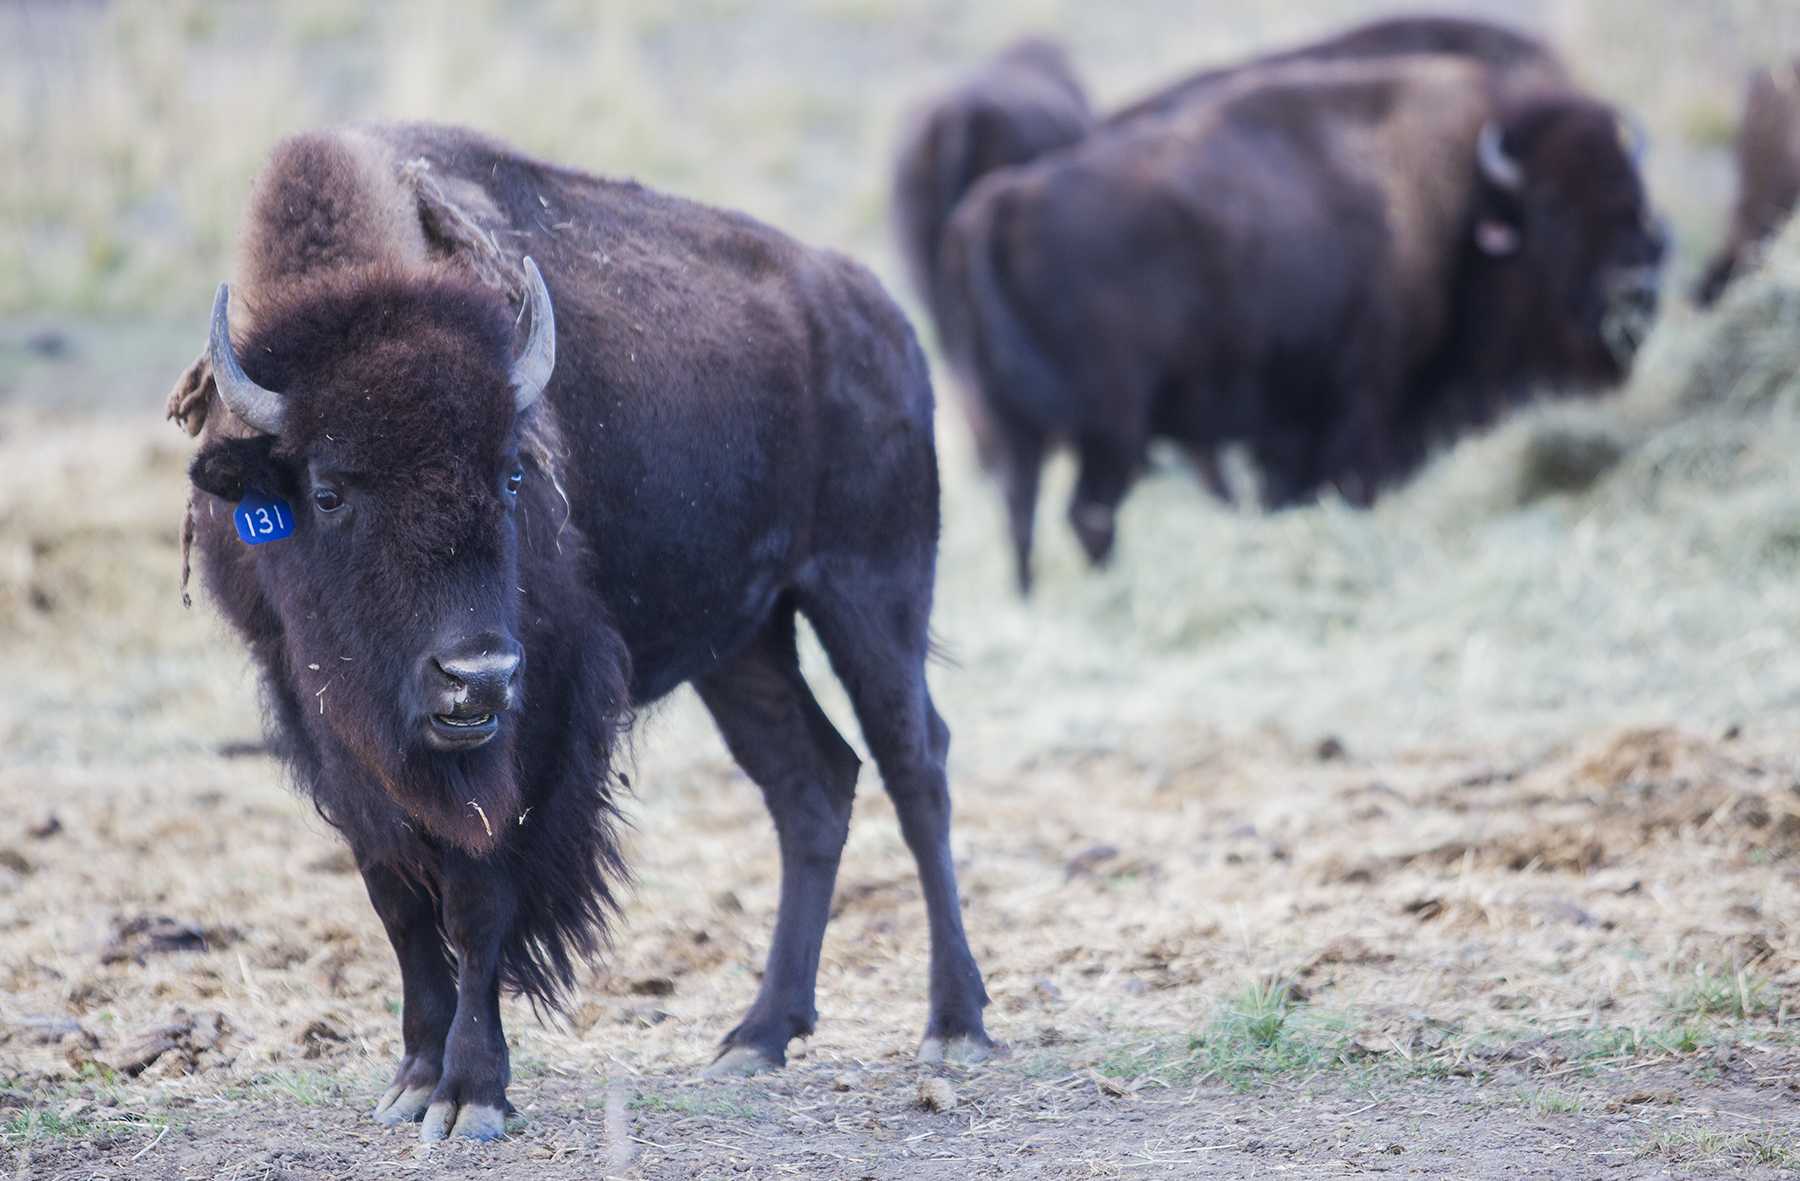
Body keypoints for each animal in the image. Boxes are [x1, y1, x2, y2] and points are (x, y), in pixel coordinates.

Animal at [163, 124, 993, 1137]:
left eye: (513, 473)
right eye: (328, 490)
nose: (473, 676)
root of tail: (884, 319)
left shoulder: (538, 716)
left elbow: (477, 899)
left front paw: (470, 1093)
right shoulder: (325, 723)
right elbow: (396, 897)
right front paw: (412, 1078)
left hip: (870, 596)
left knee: (917, 766)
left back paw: (953, 1025)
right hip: (746, 646)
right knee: (813, 782)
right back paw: (757, 1037)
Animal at [943, 57, 1670, 590]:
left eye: (1633, 198)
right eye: (1551, 210)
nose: (1633, 288)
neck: (1460, 207)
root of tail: (999, 205)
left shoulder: (1292, 421)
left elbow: (1289, 486)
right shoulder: (1365, 395)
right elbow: (1349, 478)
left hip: (1016, 430)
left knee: (1021, 513)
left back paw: (1035, 597)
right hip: (1112, 427)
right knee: (1088, 514)